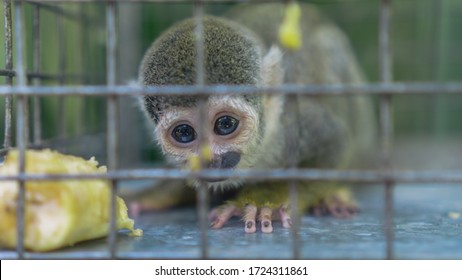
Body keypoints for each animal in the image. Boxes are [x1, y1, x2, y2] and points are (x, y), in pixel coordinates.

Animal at [137, 3, 376, 233]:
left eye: (225, 124)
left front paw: (263, 200)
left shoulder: (293, 125)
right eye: (184, 132)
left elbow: (334, 146)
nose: (210, 159)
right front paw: (156, 195)